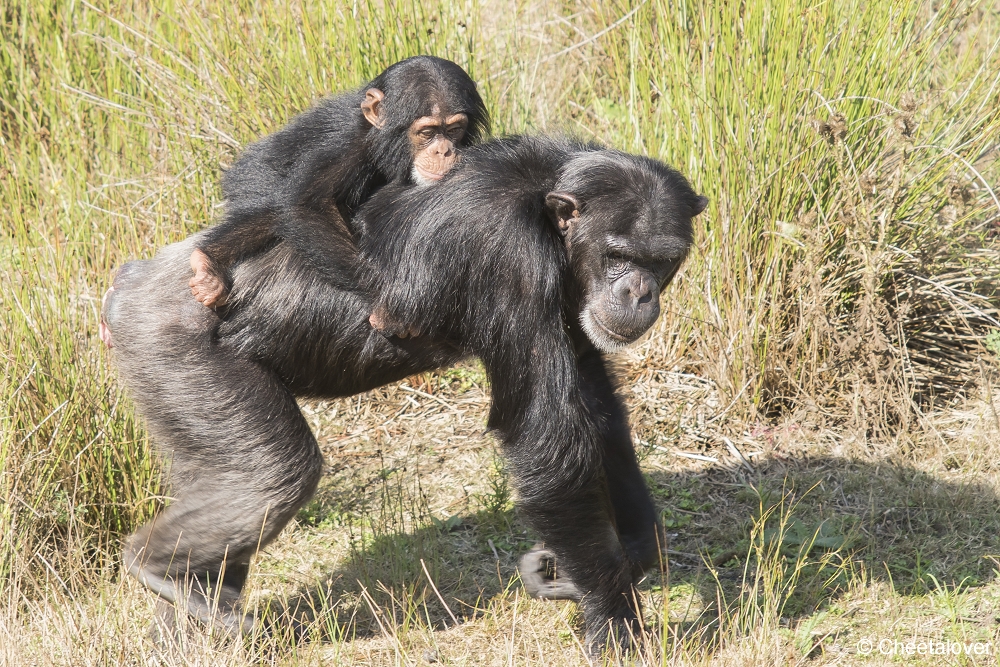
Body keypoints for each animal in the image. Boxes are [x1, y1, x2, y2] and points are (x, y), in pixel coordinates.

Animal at [103, 134, 704, 656]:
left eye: (659, 259)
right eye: (617, 254)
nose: (638, 290)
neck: (549, 216)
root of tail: (128, 283)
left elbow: (595, 401)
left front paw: (632, 550)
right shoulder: (510, 259)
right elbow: (546, 434)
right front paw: (615, 624)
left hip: (171, 386)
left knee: (223, 483)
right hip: (174, 348)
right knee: (270, 475)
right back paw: (153, 565)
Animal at [187, 54, 488, 310]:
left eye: (454, 129)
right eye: (427, 132)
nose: (444, 151)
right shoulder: (348, 145)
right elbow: (308, 205)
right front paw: (384, 300)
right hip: (251, 179)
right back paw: (208, 262)